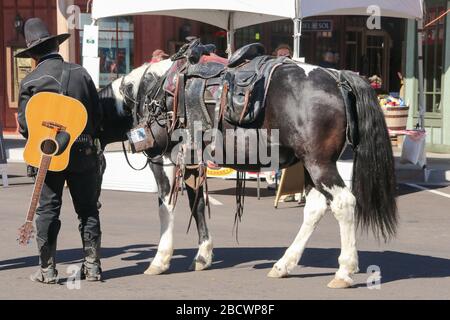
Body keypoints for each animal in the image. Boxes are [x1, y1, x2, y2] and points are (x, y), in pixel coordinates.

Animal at [99, 55, 398, 290]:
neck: (150, 90)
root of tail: (336, 77)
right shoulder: (193, 162)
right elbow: (197, 205)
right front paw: (203, 255)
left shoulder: (162, 160)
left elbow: (166, 207)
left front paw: (160, 260)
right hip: (311, 166)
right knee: (315, 209)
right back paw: (284, 264)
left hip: (319, 163)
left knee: (343, 203)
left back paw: (344, 271)